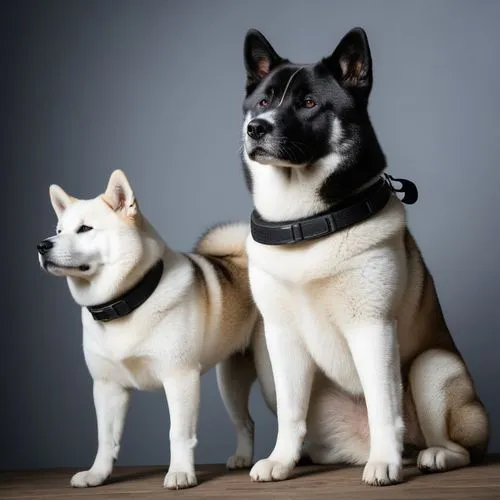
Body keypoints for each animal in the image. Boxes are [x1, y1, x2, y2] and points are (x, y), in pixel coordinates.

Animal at [37, 171, 264, 488]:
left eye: (84, 229)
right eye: (58, 230)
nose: (42, 245)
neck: (126, 302)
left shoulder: (180, 379)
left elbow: (178, 433)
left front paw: (180, 472)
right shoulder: (107, 387)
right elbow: (106, 438)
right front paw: (97, 474)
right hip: (230, 382)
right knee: (246, 422)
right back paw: (243, 458)